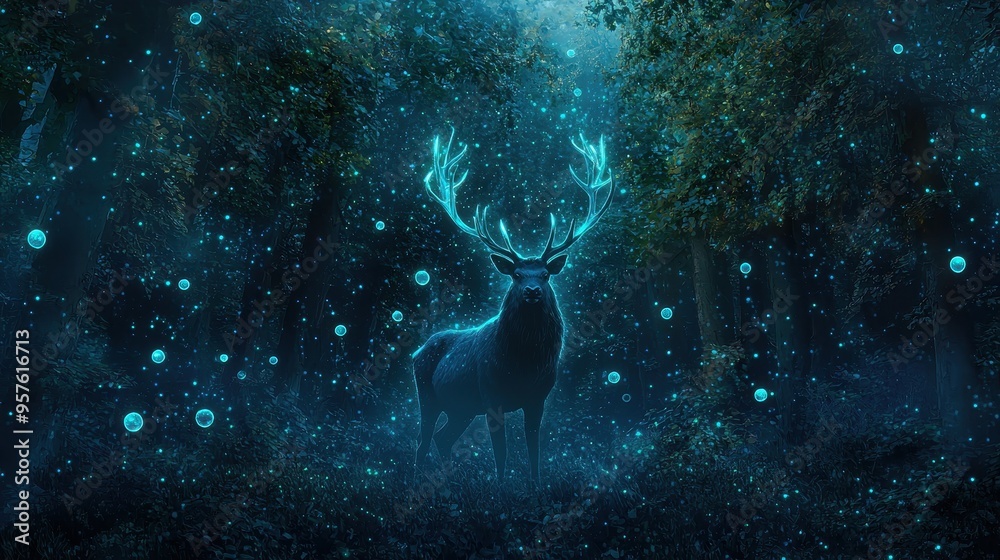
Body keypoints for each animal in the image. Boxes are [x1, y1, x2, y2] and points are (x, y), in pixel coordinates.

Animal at [412, 129, 614, 482]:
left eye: (545, 275)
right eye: (517, 275)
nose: (532, 291)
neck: (525, 363)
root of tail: (415, 352)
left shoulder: (538, 398)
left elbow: (534, 451)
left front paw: (535, 486)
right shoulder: (491, 395)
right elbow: (502, 453)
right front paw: (501, 487)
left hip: (461, 407)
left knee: (442, 438)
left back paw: (449, 481)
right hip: (428, 395)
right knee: (422, 440)